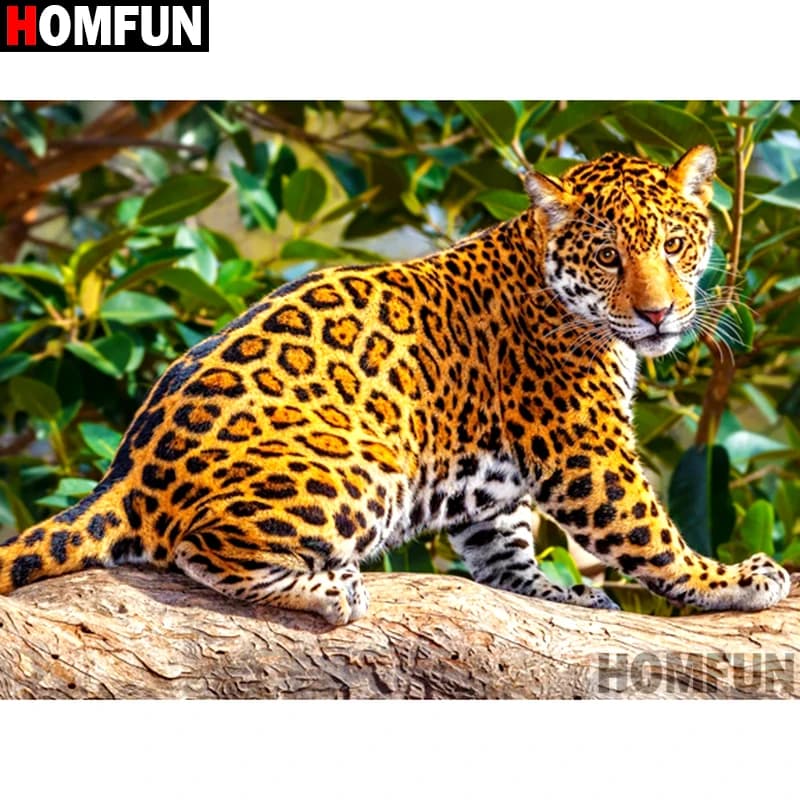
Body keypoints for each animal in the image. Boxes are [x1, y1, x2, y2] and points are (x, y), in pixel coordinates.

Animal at [0, 145, 791, 625]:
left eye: (675, 246)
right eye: (606, 256)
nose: (658, 313)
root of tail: (125, 476)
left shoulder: (495, 488)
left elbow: (502, 550)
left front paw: (559, 592)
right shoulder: (588, 453)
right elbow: (652, 538)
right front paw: (731, 580)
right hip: (365, 463)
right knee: (203, 547)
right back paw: (330, 590)